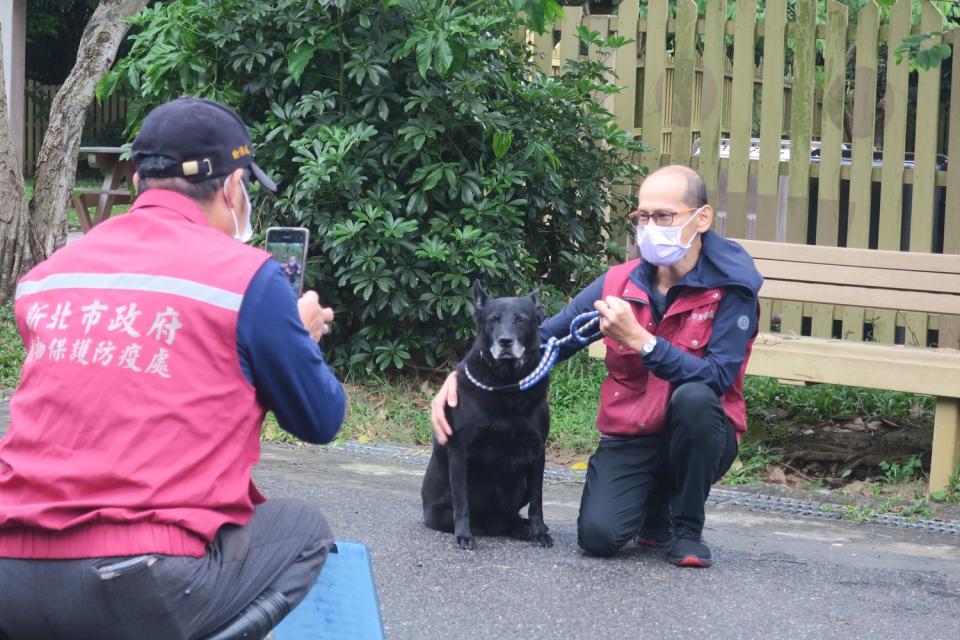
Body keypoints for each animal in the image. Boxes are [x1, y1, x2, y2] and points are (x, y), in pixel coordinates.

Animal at [422, 282, 552, 552]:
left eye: (521, 320)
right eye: (494, 320)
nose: (505, 342)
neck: (507, 384)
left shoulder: (537, 453)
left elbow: (537, 502)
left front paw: (538, 531)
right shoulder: (460, 453)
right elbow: (462, 503)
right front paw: (463, 536)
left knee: (512, 516)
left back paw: (525, 528)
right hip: (441, 513)